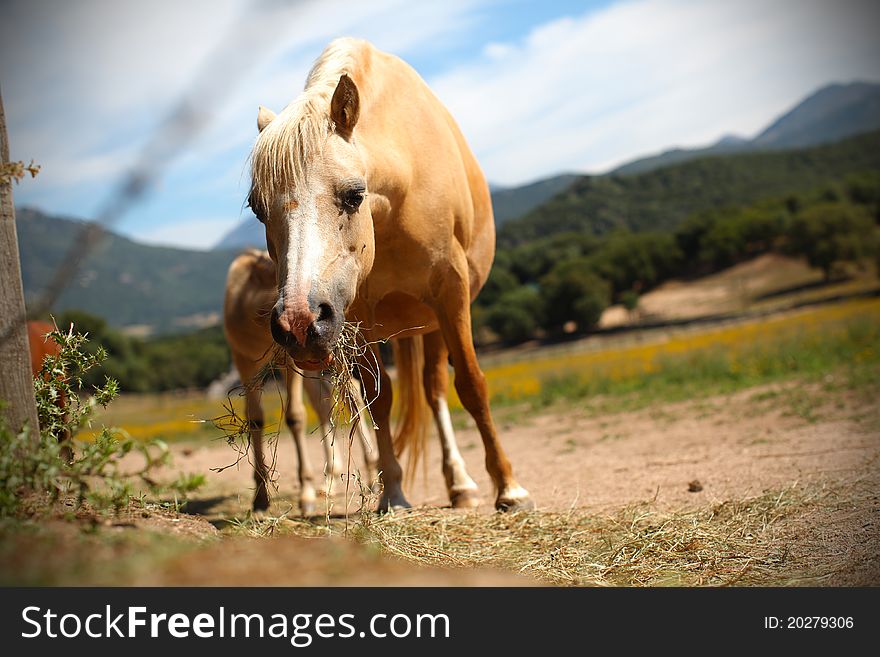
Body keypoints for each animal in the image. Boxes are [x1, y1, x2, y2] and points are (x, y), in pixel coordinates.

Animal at [223, 246, 378, 512]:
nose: (315, 327)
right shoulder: (245, 362)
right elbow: (254, 419)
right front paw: (260, 498)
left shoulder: (289, 361)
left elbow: (295, 416)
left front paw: (305, 494)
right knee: (324, 403)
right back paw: (329, 482)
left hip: (333, 362)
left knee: (353, 398)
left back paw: (371, 477)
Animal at [248, 38, 528, 512]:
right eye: (256, 208)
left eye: (353, 194)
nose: (299, 324)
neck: (403, 186)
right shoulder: (356, 316)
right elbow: (379, 403)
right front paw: (392, 494)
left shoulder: (451, 293)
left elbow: (471, 385)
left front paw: (508, 488)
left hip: (434, 321)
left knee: (436, 389)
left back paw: (461, 484)